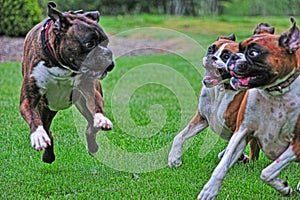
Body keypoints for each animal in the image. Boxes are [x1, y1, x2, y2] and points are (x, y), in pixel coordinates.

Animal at [19, 2, 113, 163]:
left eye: (105, 43)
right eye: (89, 44)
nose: (107, 55)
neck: (60, 65)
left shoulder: (89, 90)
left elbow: (96, 106)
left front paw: (101, 119)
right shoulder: (28, 99)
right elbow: (34, 118)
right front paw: (38, 136)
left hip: (81, 104)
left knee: (90, 125)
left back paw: (92, 146)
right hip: (46, 109)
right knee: (48, 130)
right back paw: (48, 155)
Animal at [169, 30, 268, 167]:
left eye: (227, 56)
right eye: (211, 49)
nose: (212, 57)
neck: (220, 90)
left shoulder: (242, 129)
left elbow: (229, 150)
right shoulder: (201, 118)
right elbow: (180, 136)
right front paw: (174, 158)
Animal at [199, 17, 300, 200]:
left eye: (253, 53)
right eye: (239, 48)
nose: (234, 57)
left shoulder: (297, 144)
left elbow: (267, 172)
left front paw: (283, 187)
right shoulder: (242, 131)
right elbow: (222, 163)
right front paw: (209, 190)